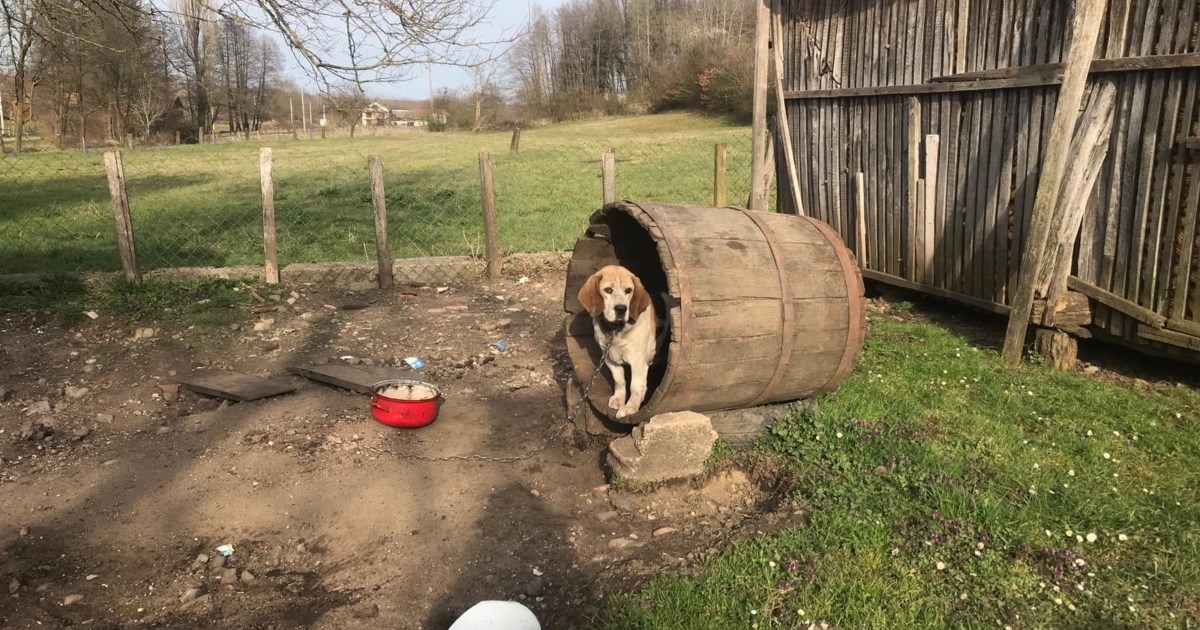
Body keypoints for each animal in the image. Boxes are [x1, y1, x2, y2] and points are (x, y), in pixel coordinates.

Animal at [578, 264, 657, 417]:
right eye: (608, 290)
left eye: (628, 290)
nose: (621, 309)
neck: (616, 330)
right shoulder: (609, 357)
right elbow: (619, 380)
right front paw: (619, 399)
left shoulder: (638, 361)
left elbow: (635, 386)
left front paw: (631, 406)